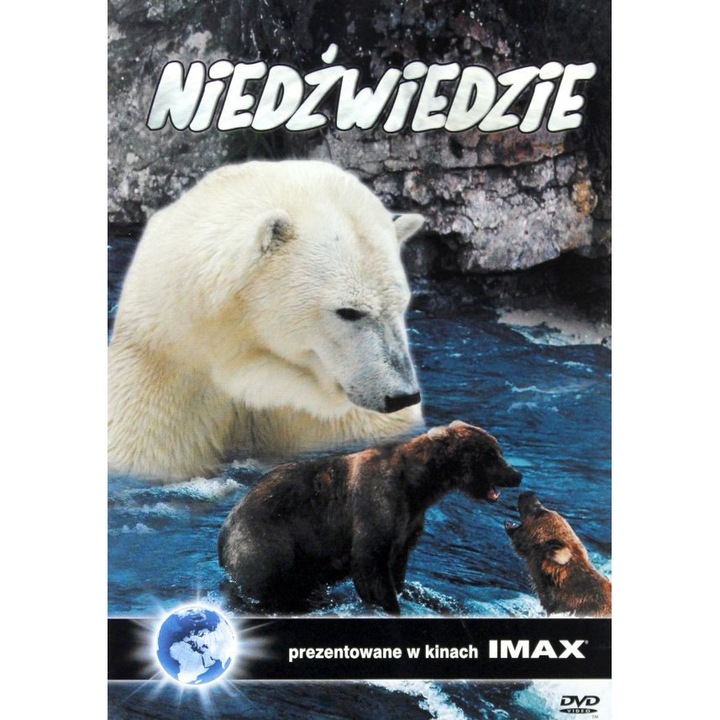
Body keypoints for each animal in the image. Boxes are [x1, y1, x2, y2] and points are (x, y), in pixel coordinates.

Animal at [218, 420, 522, 614]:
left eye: (499, 451)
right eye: (491, 454)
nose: (516, 475)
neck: (419, 486)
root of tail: (225, 528)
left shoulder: (408, 523)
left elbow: (398, 563)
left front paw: (410, 594)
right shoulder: (376, 504)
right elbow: (370, 561)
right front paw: (389, 604)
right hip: (268, 542)